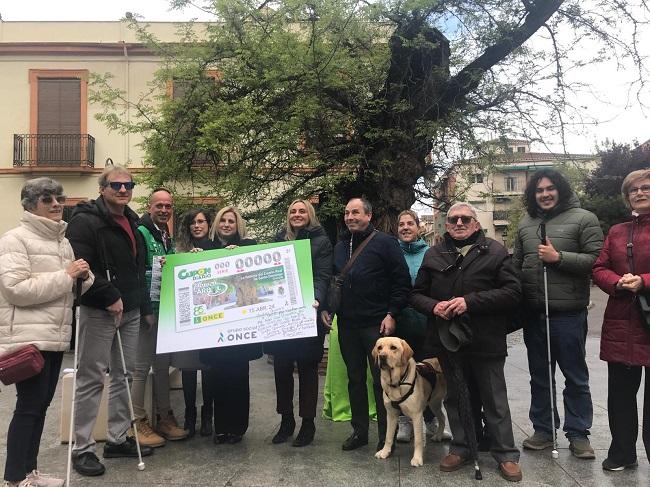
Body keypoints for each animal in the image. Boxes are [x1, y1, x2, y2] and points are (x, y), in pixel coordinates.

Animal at [370, 338, 446, 468]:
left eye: (393, 347)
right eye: (379, 348)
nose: (382, 356)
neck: (397, 383)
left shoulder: (417, 415)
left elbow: (418, 440)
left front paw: (417, 459)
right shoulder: (391, 414)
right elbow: (388, 436)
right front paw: (385, 452)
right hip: (434, 403)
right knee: (442, 418)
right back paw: (438, 436)